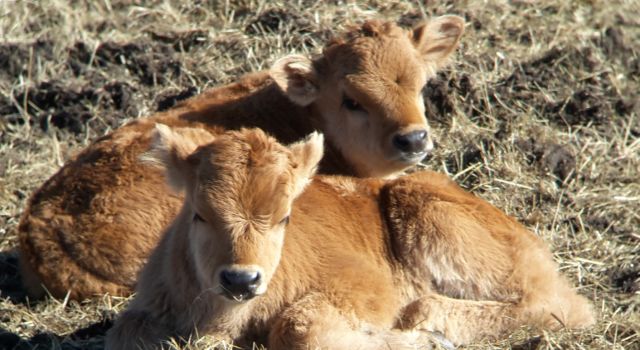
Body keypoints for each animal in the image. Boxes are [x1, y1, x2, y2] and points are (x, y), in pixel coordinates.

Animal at [106, 126, 596, 350]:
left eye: (285, 217)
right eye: (198, 214)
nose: (241, 279)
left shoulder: (366, 288)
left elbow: (299, 327)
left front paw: (420, 340)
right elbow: (124, 332)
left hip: (434, 217)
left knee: (562, 305)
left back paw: (429, 319)